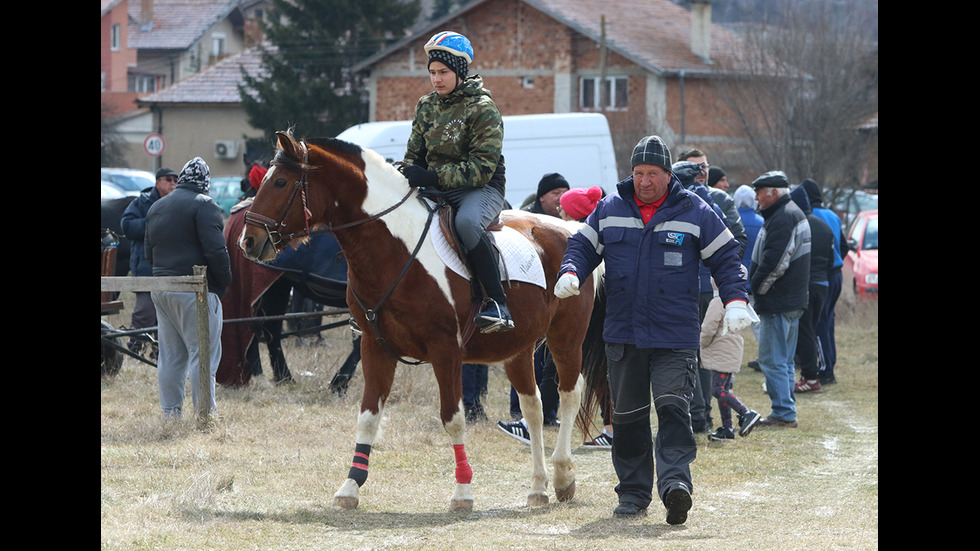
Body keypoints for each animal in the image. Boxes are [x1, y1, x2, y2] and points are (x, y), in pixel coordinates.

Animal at [237, 130, 604, 512]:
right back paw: (538, 487)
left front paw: (462, 491)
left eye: (281, 182)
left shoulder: (446, 351)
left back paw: (563, 476)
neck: (394, 250)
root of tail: (571, 227)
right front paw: (350, 486)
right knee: (533, 408)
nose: (248, 241)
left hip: (566, 338)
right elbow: (367, 418)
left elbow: (453, 419)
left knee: (568, 395)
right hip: (517, 349)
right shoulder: (374, 347)